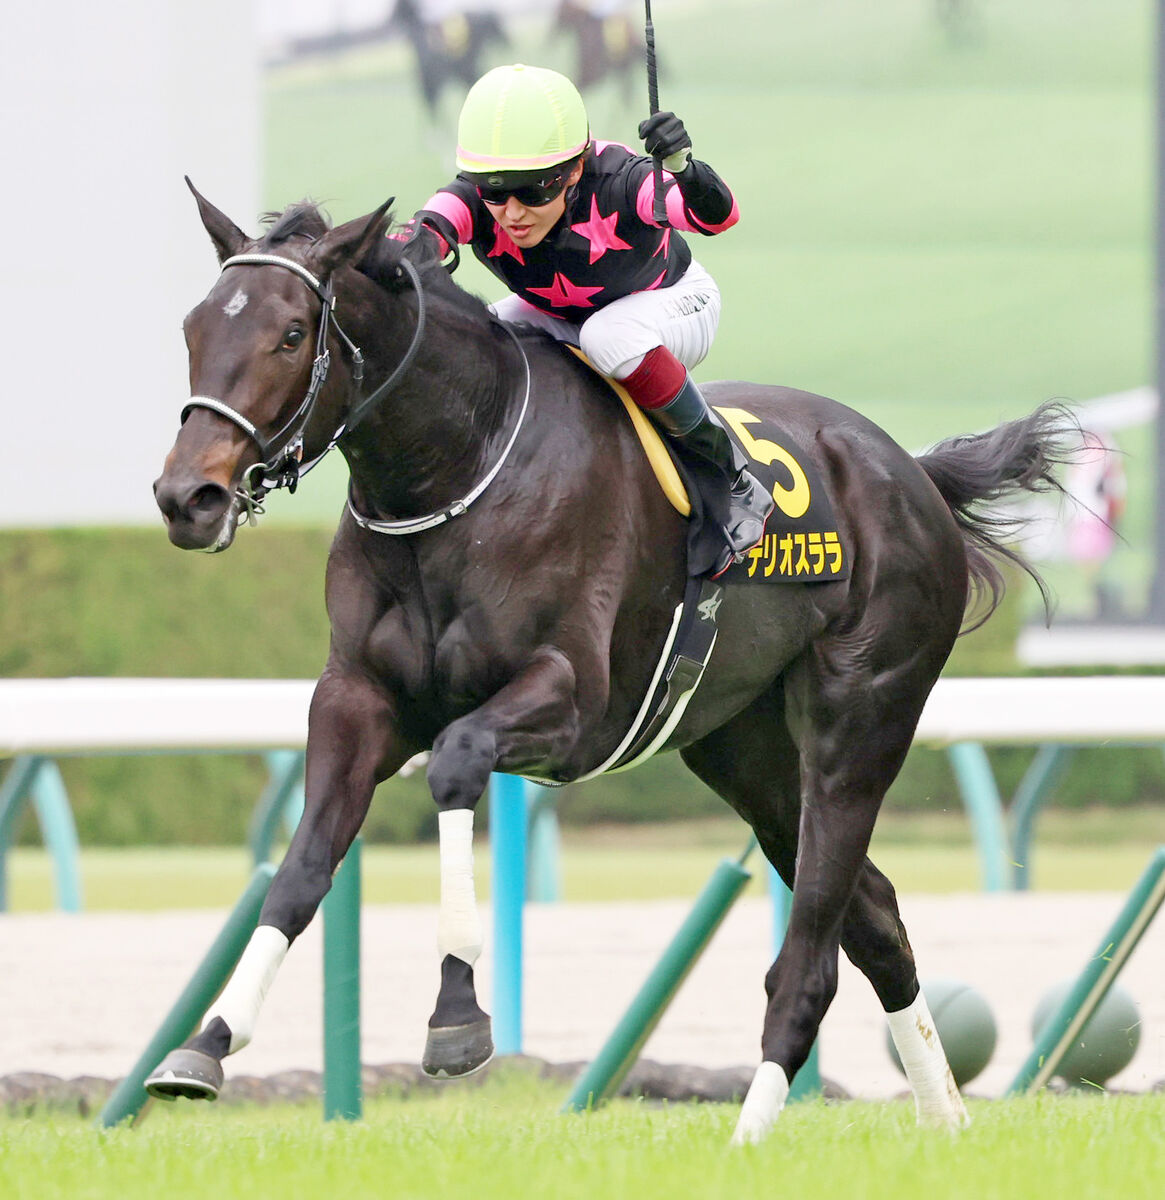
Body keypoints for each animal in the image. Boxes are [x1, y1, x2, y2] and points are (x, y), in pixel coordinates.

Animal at [148, 187, 1075, 1142]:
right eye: (193, 326)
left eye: (292, 332)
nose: (189, 497)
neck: (457, 471)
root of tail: (912, 473)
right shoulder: (356, 700)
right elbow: (299, 869)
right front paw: (205, 1044)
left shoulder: (569, 703)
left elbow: (453, 763)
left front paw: (456, 1017)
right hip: (745, 753)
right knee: (877, 919)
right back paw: (943, 1119)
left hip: (861, 717)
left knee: (812, 956)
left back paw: (748, 1135)